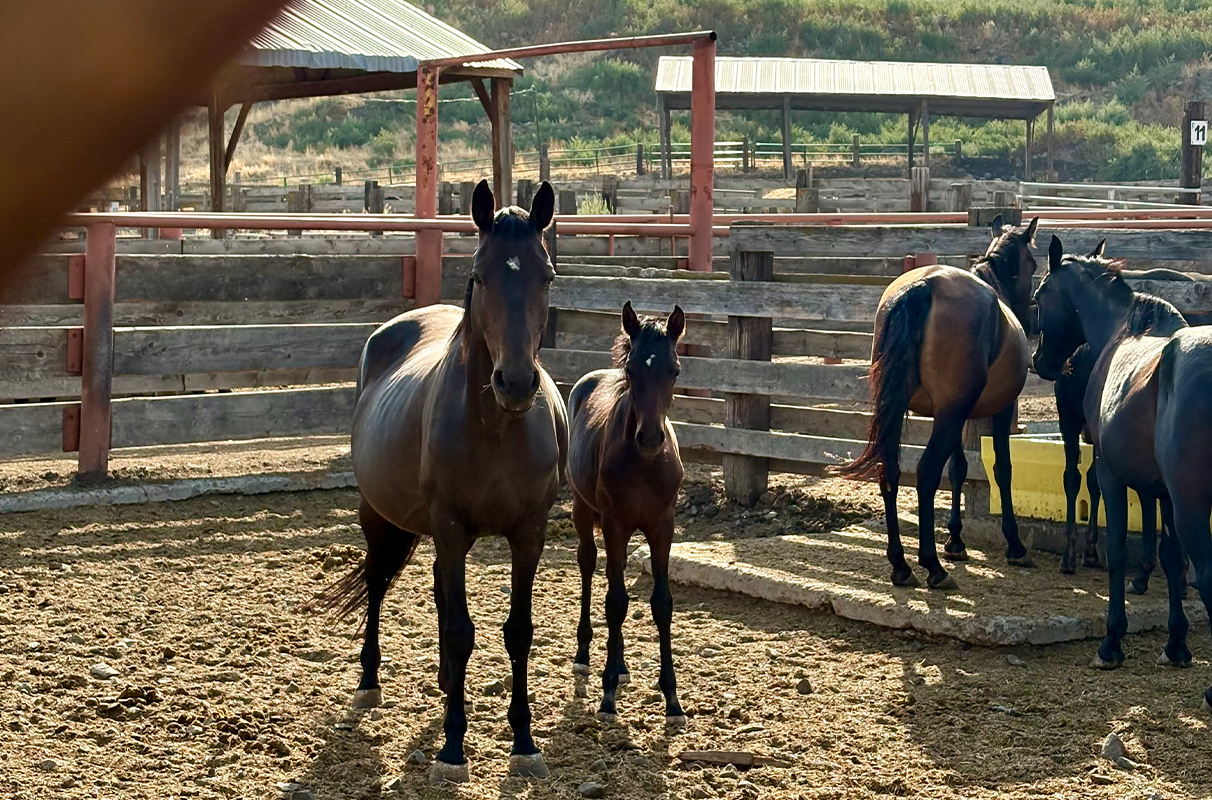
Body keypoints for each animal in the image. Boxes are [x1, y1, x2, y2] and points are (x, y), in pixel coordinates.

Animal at [321, 179, 568, 783]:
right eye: (479, 275)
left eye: (546, 275)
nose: (516, 383)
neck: (496, 428)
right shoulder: (452, 527)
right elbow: (460, 631)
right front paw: (453, 748)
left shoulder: (529, 534)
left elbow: (518, 631)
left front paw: (524, 742)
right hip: (379, 517)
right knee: (378, 582)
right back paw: (369, 683)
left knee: (433, 587)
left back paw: (440, 681)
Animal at [566, 302, 687, 727]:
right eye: (632, 370)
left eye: (674, 370)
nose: (650, 438)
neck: (643, 464)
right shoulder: (615, 523)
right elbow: (616, 602)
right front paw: (607, 697)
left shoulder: (662, 526)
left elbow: (661, 603)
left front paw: (672, 700)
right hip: (583, 509)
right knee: (590, 567)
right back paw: (586, 655)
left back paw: (619, 666)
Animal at [839, 215, 1039, 590]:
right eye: (1033, 264)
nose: (1032, 320)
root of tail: (922, 286)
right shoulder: (996, 411)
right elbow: (1002, 469)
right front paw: (1015, 544)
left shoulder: (955, 414)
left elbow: (958, 468)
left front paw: (956, 540)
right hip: (949, 415)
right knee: (926, 472)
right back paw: (932, 565)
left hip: (910, 410)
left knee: (890, 471)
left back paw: (900, 564)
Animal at [1032, 236, 1212, 712]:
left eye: (1039, 295)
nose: (1041, 361)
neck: (1122, 331)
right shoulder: (1162, 495)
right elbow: (1170, 558)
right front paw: (1176, 644)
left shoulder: (1111, 474)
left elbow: (1115, 549)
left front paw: (1111, 642)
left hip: (1193, 509)